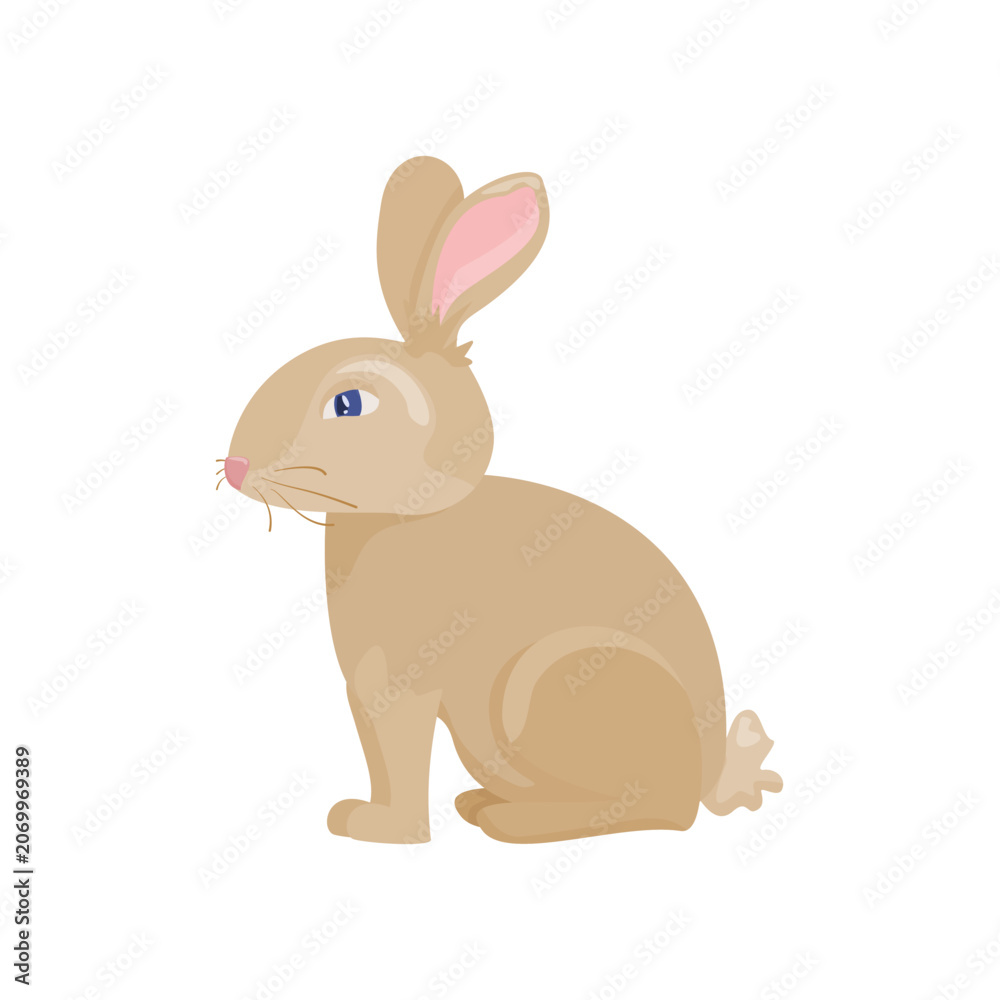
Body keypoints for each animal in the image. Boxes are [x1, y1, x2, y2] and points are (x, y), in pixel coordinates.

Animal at [221, 156, 782, 844]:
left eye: (349, 404)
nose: (235, 467)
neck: (407, 516)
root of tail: (708, 777)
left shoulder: (401, 686)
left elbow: (401, 764)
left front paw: (382, 830)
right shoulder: (365, 690)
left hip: (551, 687)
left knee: (660, 812)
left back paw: (512, 823)